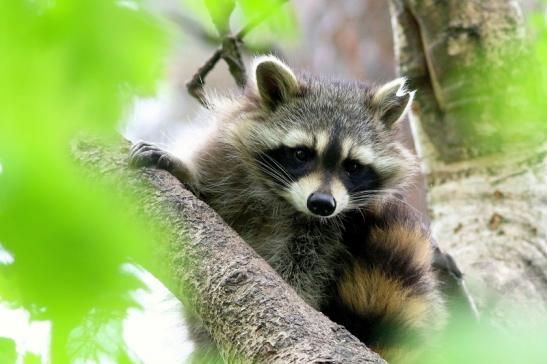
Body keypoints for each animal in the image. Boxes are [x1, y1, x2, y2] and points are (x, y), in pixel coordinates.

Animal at [131, 54, 448, 362]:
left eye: (353, 167)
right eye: (301, 154)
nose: (322, 204)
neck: (281, 199)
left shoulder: (328, 234)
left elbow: (301, 276)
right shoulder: (224, 162)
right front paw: (184, 171)